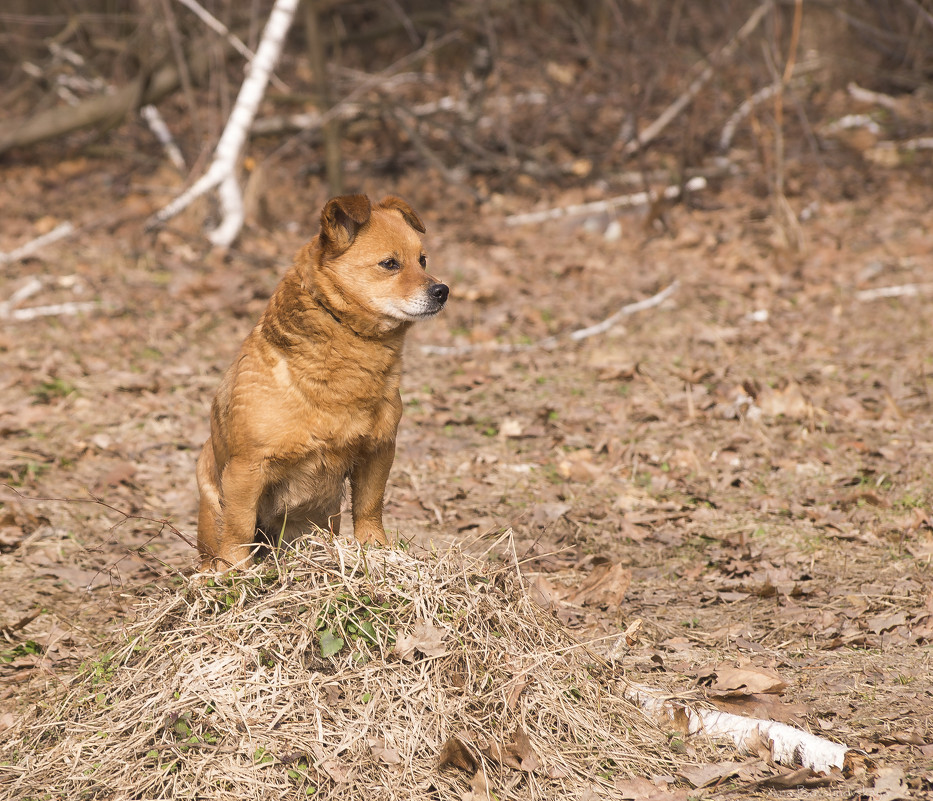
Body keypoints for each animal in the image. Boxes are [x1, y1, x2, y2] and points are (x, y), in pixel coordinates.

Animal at [196, 193, 448, 568]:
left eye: (423, 259)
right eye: (390, 264)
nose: (442, 290)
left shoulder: (378, 451)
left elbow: (369, 507)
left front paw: (376, 550)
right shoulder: (246, 469)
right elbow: (238, 530)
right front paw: (236, 573)